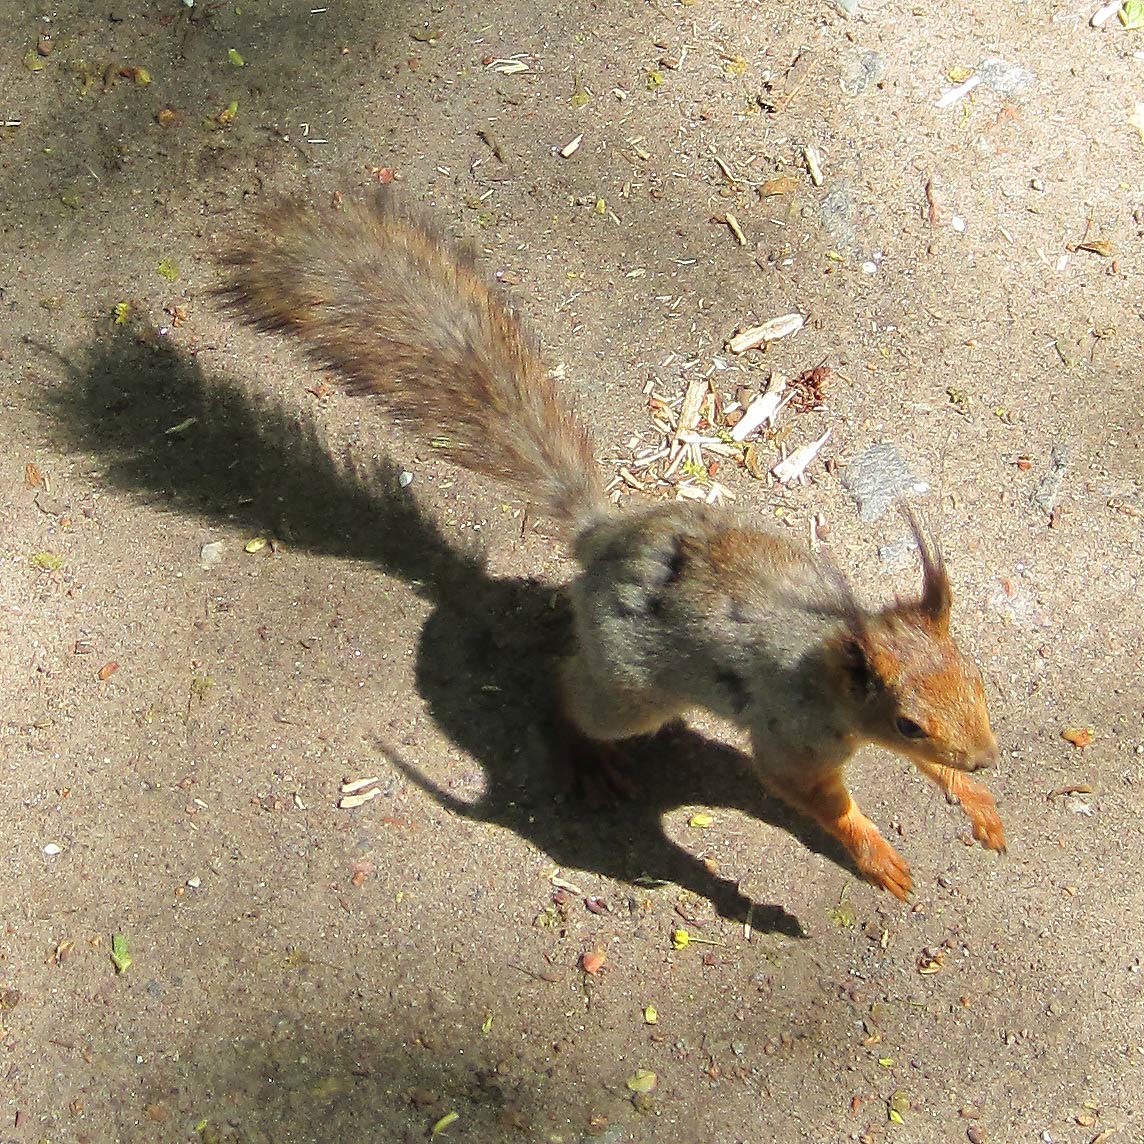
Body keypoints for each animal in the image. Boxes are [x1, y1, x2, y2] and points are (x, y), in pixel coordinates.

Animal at [218, 192, 1006, 896]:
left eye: (976, 679)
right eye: (906, 722)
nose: (988, 759)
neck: (834, 654)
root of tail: (602, 539)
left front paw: (975, 803)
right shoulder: (792, 736)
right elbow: (815, 801)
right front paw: (876, 859)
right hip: (631, 693)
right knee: (568, 691)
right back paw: (585, 757)